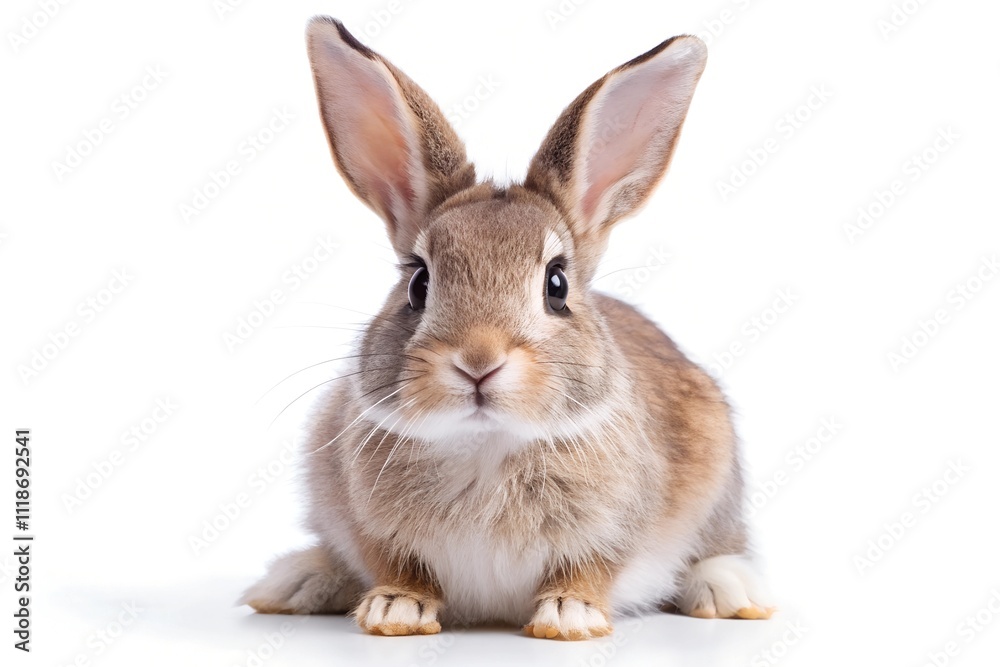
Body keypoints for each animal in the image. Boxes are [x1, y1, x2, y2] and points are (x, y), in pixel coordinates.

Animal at [240, 16, 774, 640]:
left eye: (556, 284)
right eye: (418, 282)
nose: (478, 360)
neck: (486, 443)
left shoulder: (616, 530)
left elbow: (590, 568)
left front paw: (570, 618)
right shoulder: (367, 523)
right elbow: (398, 565)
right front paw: (394, 610)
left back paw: (730, 591)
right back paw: (293, 581)